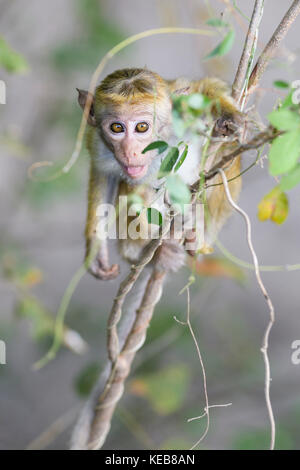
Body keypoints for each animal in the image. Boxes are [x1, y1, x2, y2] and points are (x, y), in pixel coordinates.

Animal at [76, 67, 243, 280]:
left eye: (141, 127)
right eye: (117, 127)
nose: (130, 151)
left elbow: (203, 87)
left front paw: (227, 114)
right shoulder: (99, 143)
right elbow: (103, 174)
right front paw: (96, 251)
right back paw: (149, 254)